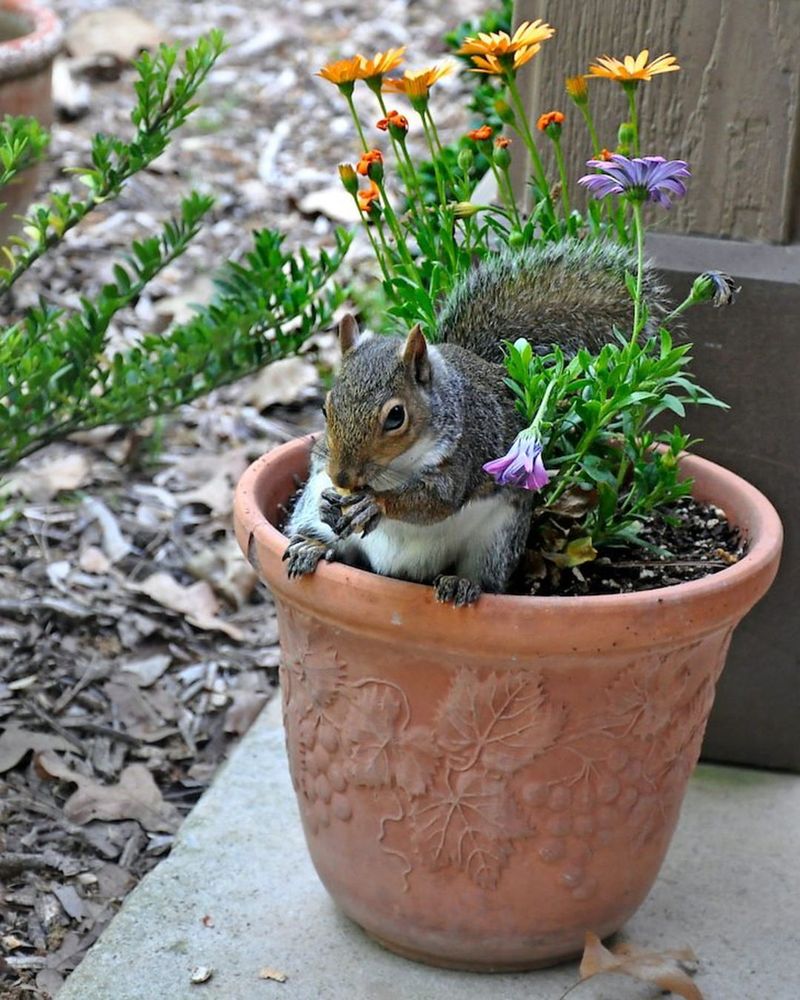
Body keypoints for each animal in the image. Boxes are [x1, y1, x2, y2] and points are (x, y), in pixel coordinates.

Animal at [283, 239, 666, 605]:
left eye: (396, 416)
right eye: (325, 409)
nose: (342, 478)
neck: (396, 468)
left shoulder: (463, 457)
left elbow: (434, 502)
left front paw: (375, 504)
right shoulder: (320, 465)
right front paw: (332, 505)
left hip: (496, 541)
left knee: (485, 577)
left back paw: (462, 584)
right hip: (309, 512)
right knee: (328, 540)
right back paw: (311, 547)